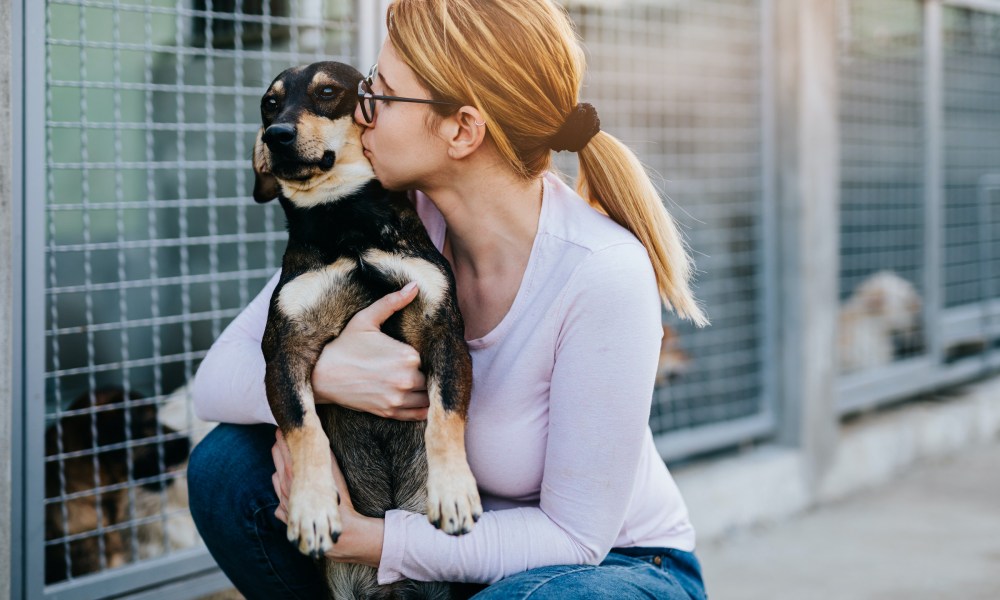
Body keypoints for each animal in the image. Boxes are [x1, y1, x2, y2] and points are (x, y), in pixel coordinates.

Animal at [252, 62, 482, 600]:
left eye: (327, 91)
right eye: (269, 104)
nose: (276, 135)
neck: (345, 222)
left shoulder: (445, 334)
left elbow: (445, 417)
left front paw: (453, 491)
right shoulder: (284, 353)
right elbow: (304, 428)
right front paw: (312, 506)